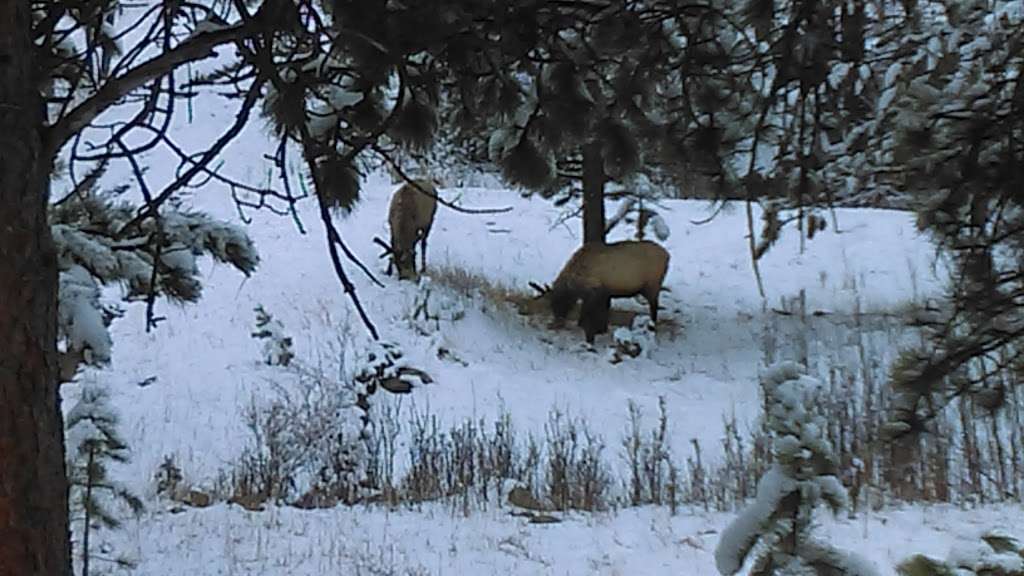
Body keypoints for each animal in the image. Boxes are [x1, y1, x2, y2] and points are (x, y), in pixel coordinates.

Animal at [528, 239, 671, 342]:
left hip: (652, 285)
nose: (557, 321)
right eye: (551, 304)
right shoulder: (601, 295)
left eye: (560, 301)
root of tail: (668, 256)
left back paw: (653, 327)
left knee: (654, 307)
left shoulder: (594, 292)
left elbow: (587, 315)